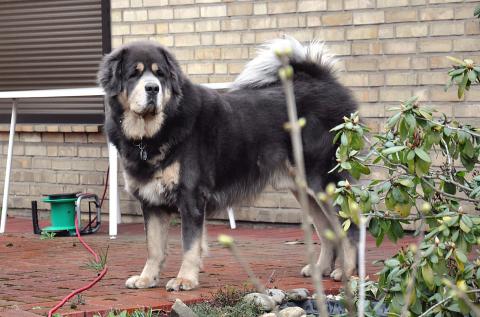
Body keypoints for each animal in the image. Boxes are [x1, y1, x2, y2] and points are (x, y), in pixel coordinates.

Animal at [98, 35, 360, 290]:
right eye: (134, 74)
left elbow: (189, 244)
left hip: (324, 180)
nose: (153, 88)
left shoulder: (190, 196)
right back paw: (322, 269)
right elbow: (154, 247)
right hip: (306, 189)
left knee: (350, 227)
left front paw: (185, 279)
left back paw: (348, 273)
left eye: (160, 74)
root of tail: (325, 82)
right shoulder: (151, 202)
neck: (152, 133)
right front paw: (146, 279)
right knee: (327, 229)